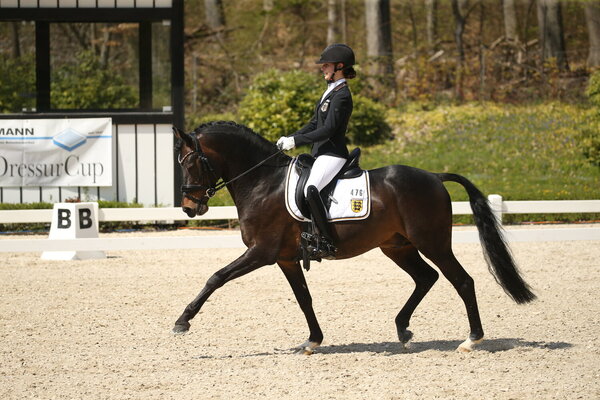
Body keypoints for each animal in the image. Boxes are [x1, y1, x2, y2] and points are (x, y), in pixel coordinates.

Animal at [172, 121, 535, 354]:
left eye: (190, 163)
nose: (189, 207)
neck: (262, 182)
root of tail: (434, 176)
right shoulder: (285, 258)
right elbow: (304, 298)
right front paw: (312, 341)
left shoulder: (262, 252)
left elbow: (216, 277)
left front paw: (182, 321)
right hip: (397, 246)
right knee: (426, 277)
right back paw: (403, 328)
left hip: (432, 242)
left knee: (461, 280)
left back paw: (471, 339)